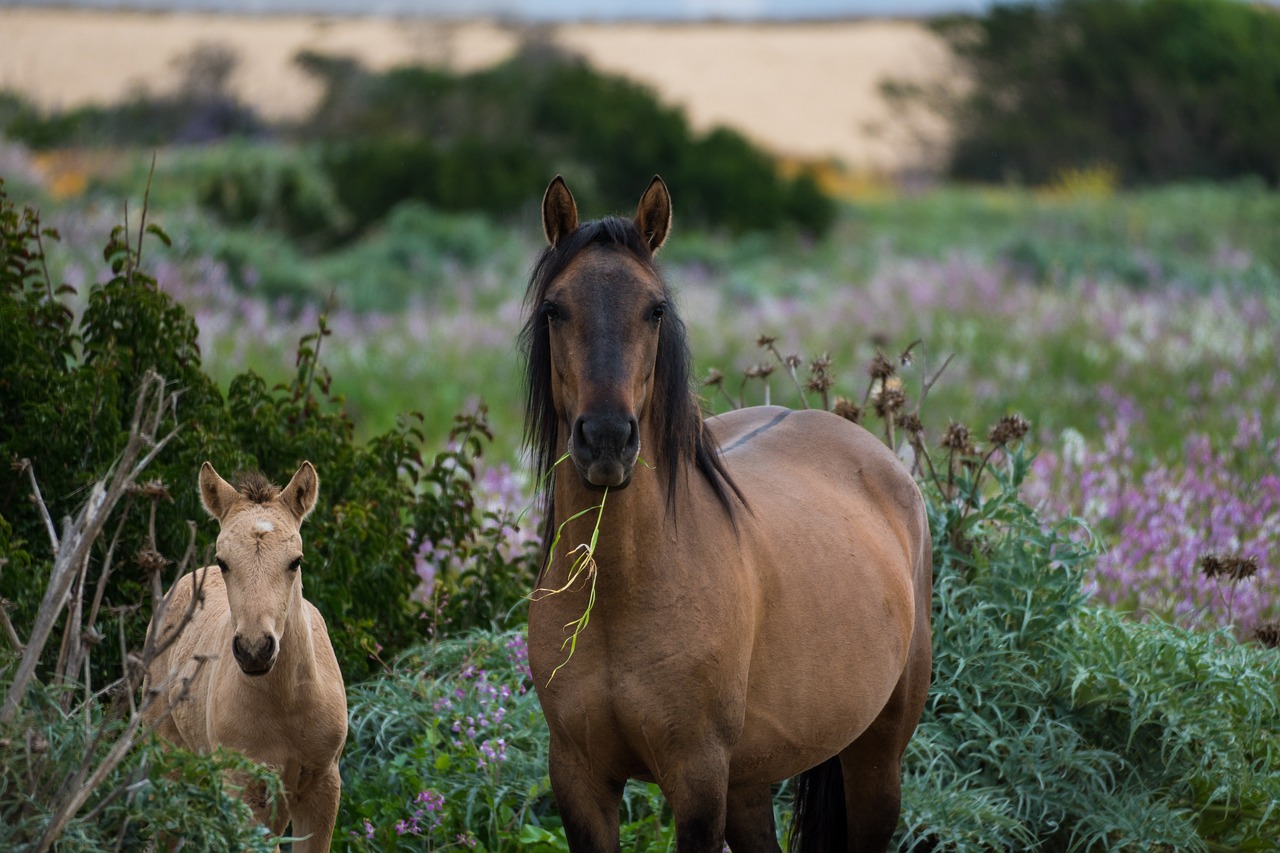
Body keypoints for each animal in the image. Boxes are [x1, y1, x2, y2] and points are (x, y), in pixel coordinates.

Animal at [519, 175, 931, 845]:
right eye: (555, 309)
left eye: (655, 309)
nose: (606, 439)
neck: (620, 595)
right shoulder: (579, 780)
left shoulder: (698, 782)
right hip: (750, 780)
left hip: (876, 759)